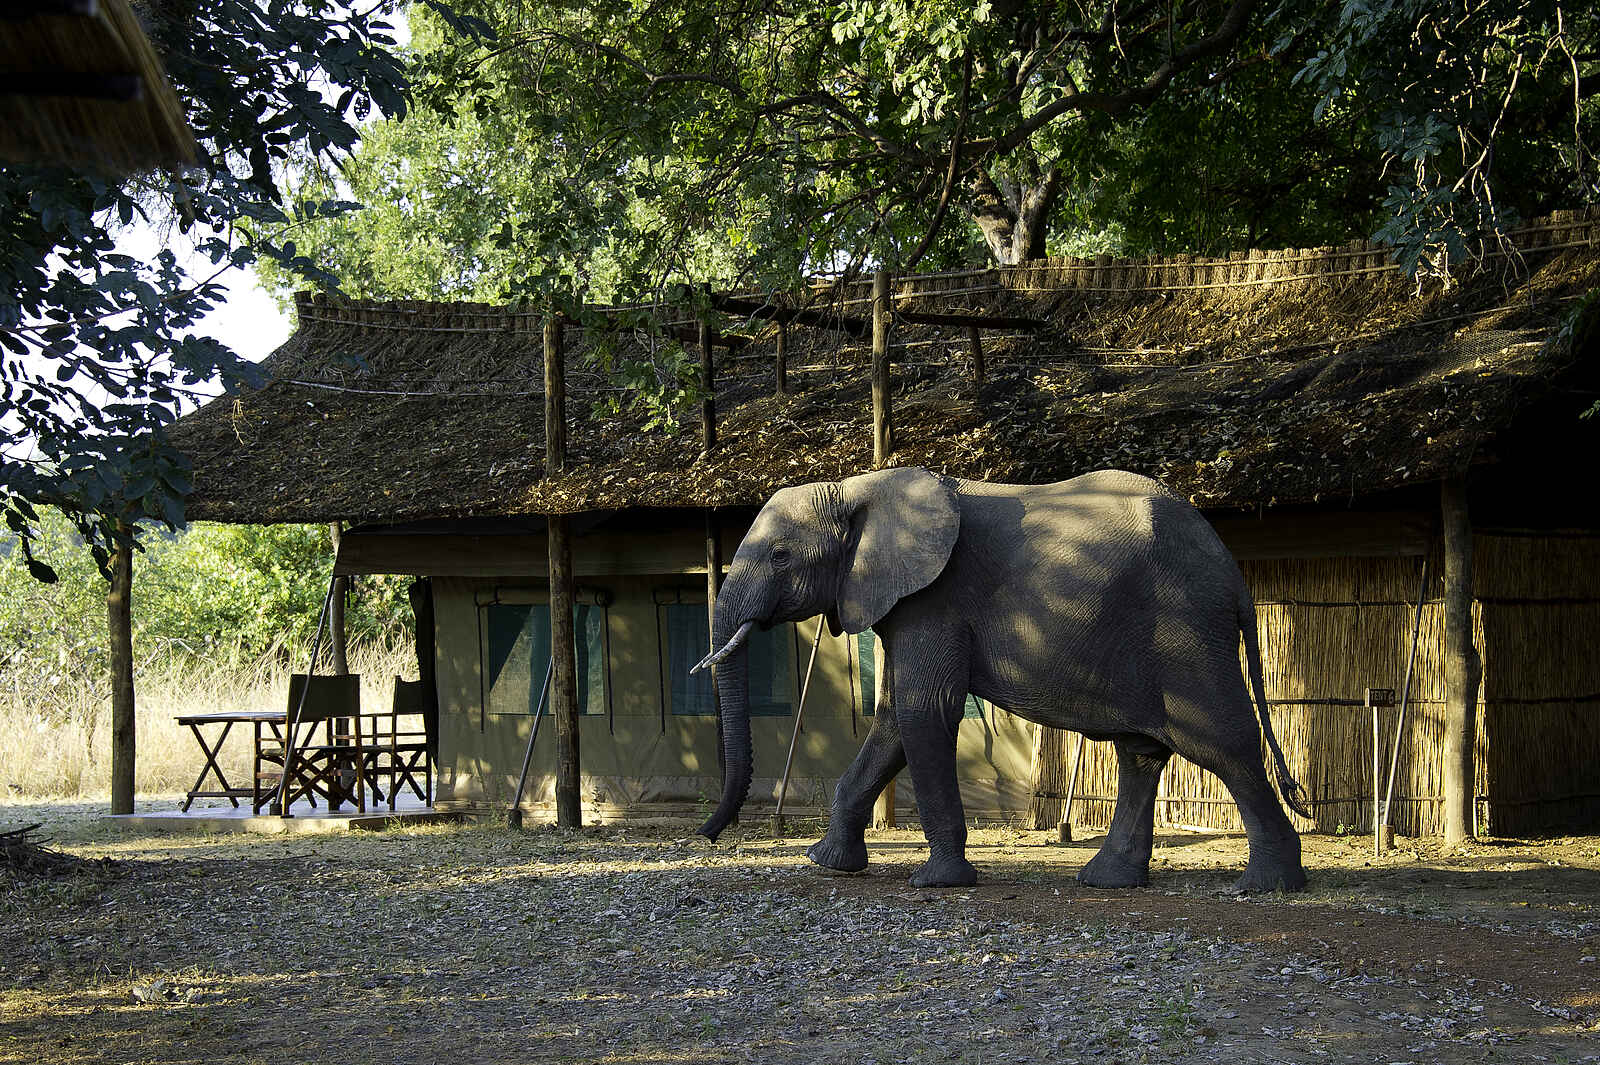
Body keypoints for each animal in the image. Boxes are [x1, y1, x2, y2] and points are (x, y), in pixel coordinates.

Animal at [694, 466, 1312, 893]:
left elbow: (924, 710)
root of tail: (1232, 571)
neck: (859, 487)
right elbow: (893, 718)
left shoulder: (934, 597)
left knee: (1221, 743)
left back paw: (1265, 887)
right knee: (1141, 751)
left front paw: (936, 883)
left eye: (780, 556)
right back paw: (1107, 882)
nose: (707, 836)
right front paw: (826, 864)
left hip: (1184, 625)